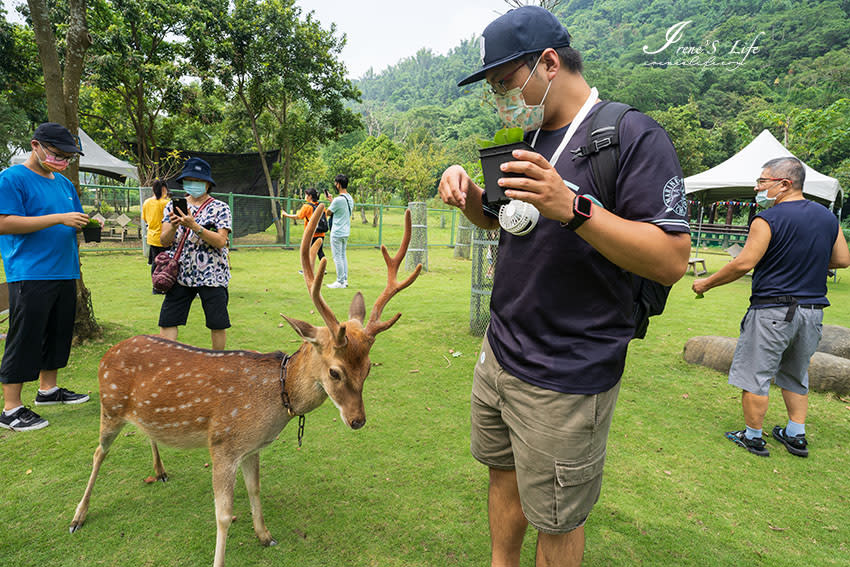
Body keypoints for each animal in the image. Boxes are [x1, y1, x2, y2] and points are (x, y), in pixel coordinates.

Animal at [69, 205, 420, 567]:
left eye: (368, 368)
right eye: (335, 372)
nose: (357, 420)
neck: (272, 402)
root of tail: (107, 355)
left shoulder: (251, 448)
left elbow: (255, 489)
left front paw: (265, 536)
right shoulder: (222, 444)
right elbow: (223, 515)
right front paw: (222, 557)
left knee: (145, 431)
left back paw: (160, 470)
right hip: (110, 406)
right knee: (98, 452)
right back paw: (78, 516)